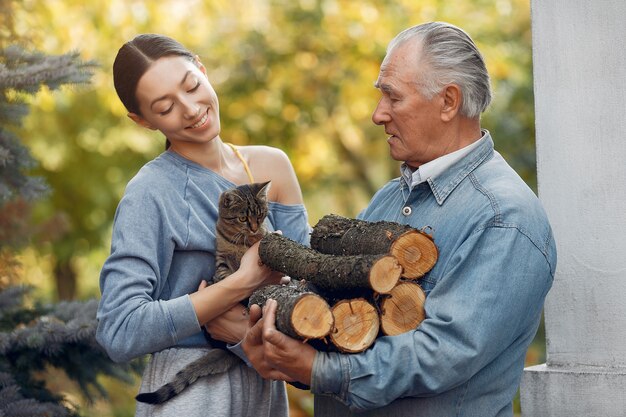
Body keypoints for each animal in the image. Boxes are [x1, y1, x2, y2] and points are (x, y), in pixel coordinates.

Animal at [134, 180, 270, 404]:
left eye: (260, 216)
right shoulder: (221, 259)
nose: (254, 228)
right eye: (243, 218)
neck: (240, 241)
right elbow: (225, 275)